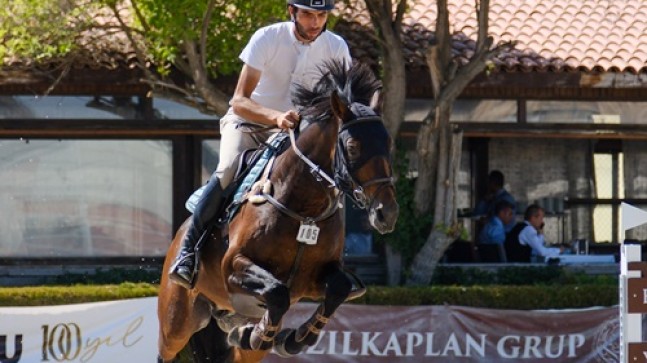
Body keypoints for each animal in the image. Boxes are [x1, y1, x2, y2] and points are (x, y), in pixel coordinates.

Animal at [158, 61, 400, 362]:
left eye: (388, 144)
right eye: (353, 147)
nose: (386, 213)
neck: (304, 210)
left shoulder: (313, 281)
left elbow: (337, 289)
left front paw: (293, 338)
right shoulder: (233, 267)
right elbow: (276, 291)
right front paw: (260, 334)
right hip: (177, 321)